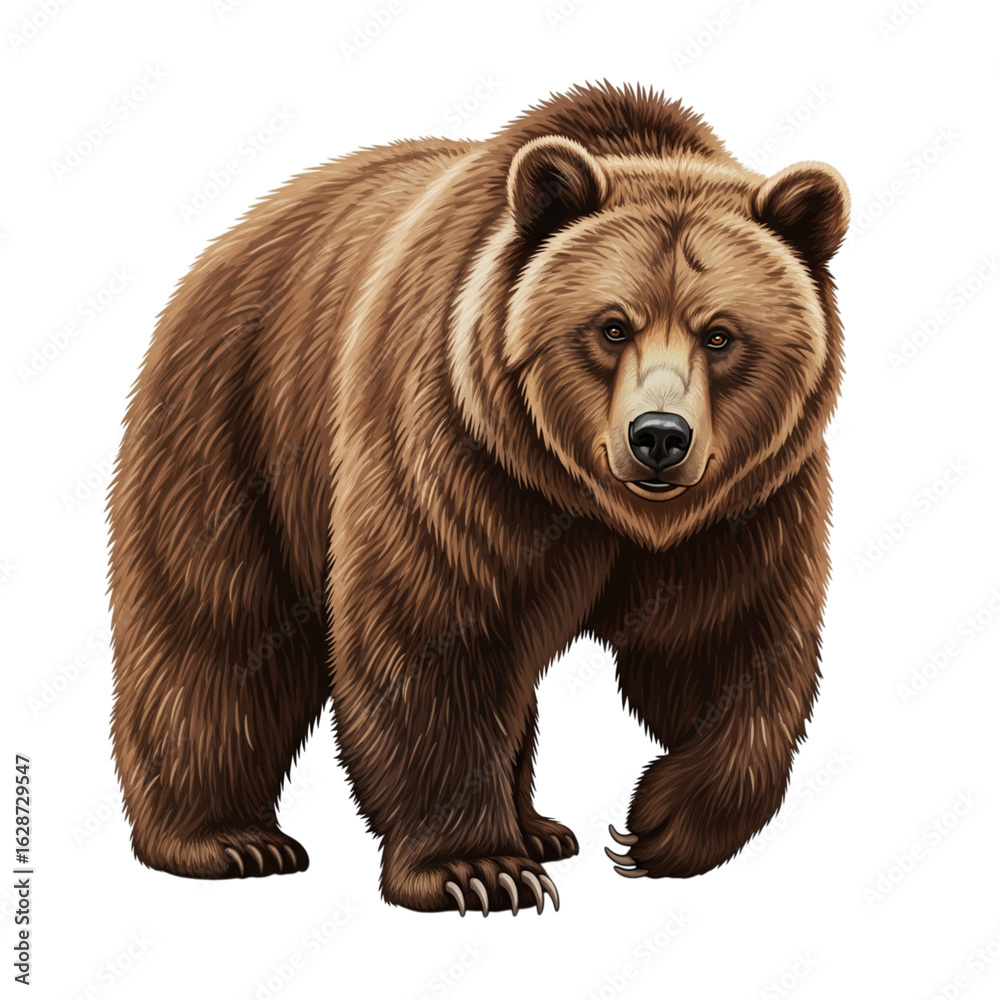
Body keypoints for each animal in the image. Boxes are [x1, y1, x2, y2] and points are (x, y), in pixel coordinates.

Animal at [108, 81, 848, 916]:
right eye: (611, 326)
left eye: (719, 334)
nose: (659, 436)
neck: (595, 502)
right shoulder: (457, 448)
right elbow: (434, 633)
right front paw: (479, 868)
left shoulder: (745, 505)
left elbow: (729, 643)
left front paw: (658, 827)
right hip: (234, 425)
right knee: (218, 629)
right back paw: (228, 839)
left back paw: (539, 828)